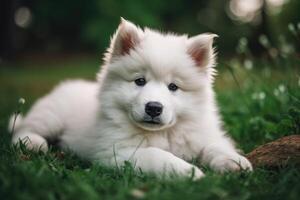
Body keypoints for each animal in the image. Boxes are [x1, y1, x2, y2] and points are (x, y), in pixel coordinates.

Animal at [10, 18, 252, 178]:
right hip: (51, 116)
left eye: (173, 87)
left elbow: (215, 146)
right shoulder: (117, 152)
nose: (153, 107)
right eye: (140, 81)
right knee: (22, 129)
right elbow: (156, 155)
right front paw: (190, 171)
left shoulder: (200, 135)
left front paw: (235, 162)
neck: (161, 133)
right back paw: (34, 143)